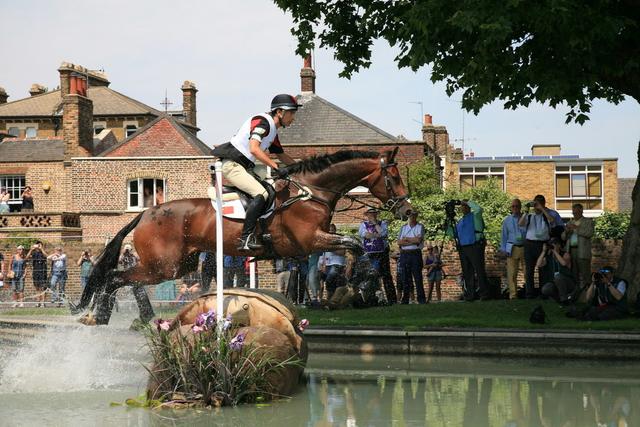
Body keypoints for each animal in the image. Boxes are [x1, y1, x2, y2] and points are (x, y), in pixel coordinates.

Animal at [72, 147, 412, 324]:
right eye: (394, 177)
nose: (407, 210)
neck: (311, 193)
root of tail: (145, 213)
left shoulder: (313, 246)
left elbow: (352, 247)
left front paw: (357, 285)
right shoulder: (309, 241)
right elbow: (355, 244)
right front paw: (361, 283)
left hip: (177, 265)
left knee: (126, 279)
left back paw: (136, 316)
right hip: (163, 266)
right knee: (116, 277)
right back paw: (100, 315)